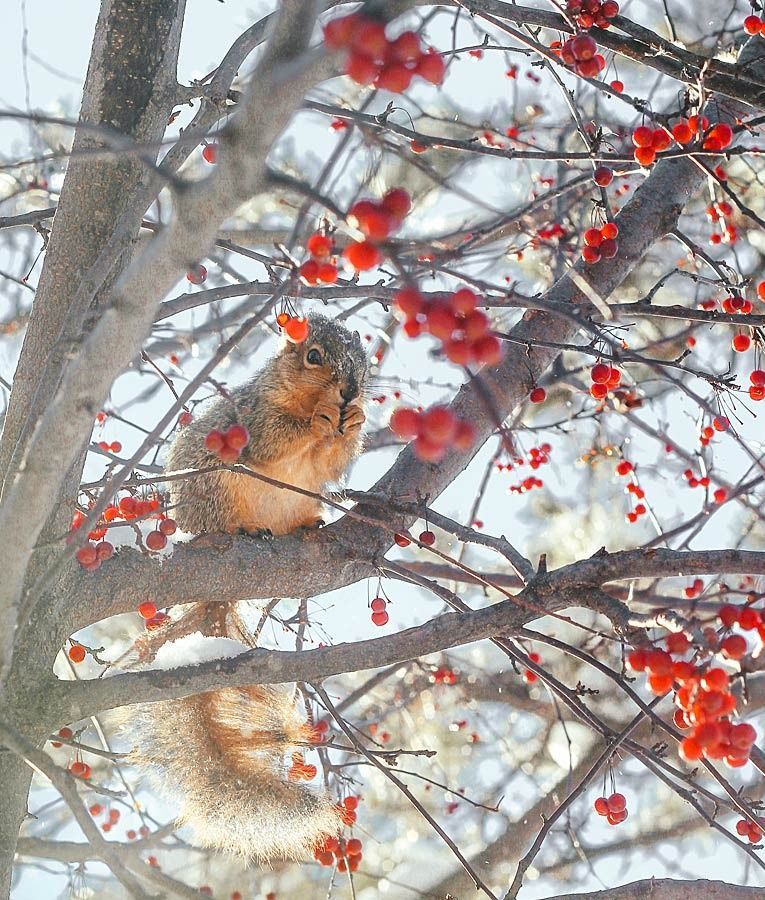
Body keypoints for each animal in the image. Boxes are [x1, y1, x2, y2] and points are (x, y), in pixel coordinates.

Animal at [122, 312, 368, 860]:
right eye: (312, 356)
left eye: (365, 363)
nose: (350, 391)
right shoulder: (250, 419)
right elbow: (275, 437)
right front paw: (319, 419)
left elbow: (332, 461)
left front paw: (357, 419)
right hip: (216, 486)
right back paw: (243, 530)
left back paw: (307, 524)